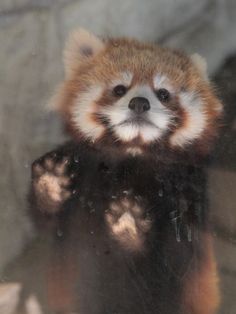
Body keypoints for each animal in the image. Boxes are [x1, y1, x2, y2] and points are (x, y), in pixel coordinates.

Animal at [29, 28, 221, 312]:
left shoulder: (188, 192)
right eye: (120, 89)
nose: (139, 103)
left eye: (163, 93)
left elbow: (177, 257)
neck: (132, 153)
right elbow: (44, 223)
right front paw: (51, 182)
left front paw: (129, 222)